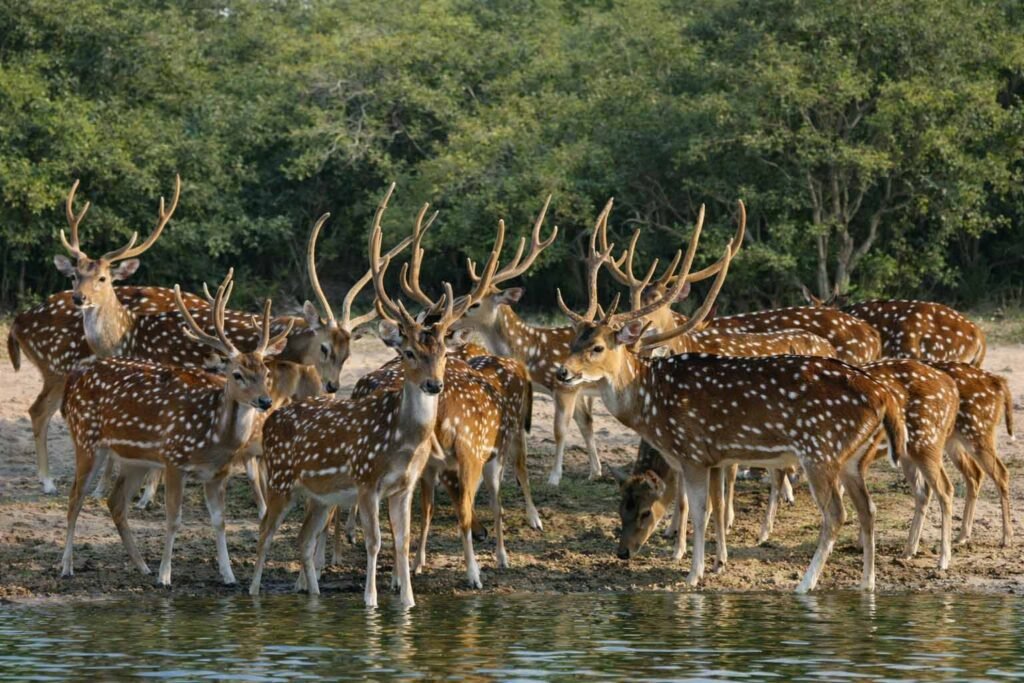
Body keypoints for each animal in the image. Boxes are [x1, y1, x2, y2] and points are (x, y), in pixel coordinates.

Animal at [60, 270, 293, 586]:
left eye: (265, 372)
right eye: (237, 374)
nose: (265, 401)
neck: (213, 436)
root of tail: (74, 381)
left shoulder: (217, 474)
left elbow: (219, 521)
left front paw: (229, 575)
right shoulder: (174, 459)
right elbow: (174, 517)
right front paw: (165, 575)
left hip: (135, 459)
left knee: (115, 501)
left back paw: (142, 566)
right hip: (86, 438)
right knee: (75, 497)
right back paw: (67, 566)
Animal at [250, 184, 483, 607]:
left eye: (443, 352)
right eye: (409, 353)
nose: (433, 384)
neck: (400, 440)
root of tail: (273, 416)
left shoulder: (403, 485)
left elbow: (401, 541)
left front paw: (407, 601)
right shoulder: (366, 479)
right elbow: (375, 541)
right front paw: (371, 601)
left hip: (319, 495)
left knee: (302, 538)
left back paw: (313, 594)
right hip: (281, 478)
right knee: (265, 532)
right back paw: (254, 592)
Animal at [553, 212, 908, 592]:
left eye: (597, 347)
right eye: (574, 341)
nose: (562, 371)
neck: (653, 404)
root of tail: (883, 394)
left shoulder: (692, 450)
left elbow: (700, 510)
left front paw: (693, 574)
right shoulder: (716, 456)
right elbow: (716, 505)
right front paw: (713, 563)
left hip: (821, 450)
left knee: (836, 514)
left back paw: (805, 584)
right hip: (852, 457)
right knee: (868, 509)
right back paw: (867, 584)